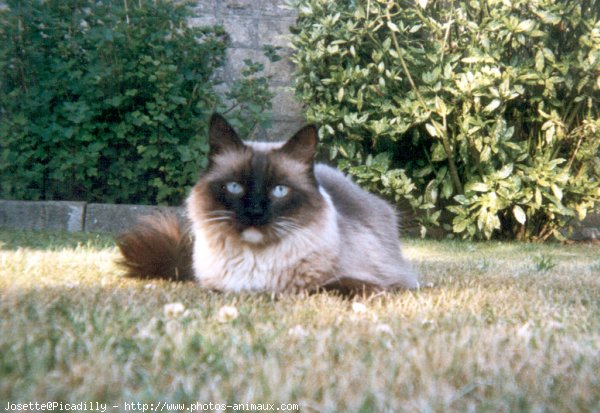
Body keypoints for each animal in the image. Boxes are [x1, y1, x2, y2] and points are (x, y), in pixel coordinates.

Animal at [116, 112, 418, 292]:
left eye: (279, 191)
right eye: (235, 187)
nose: (254, 212)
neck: (254, 267)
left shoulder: (377, 280)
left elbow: (333, 285)